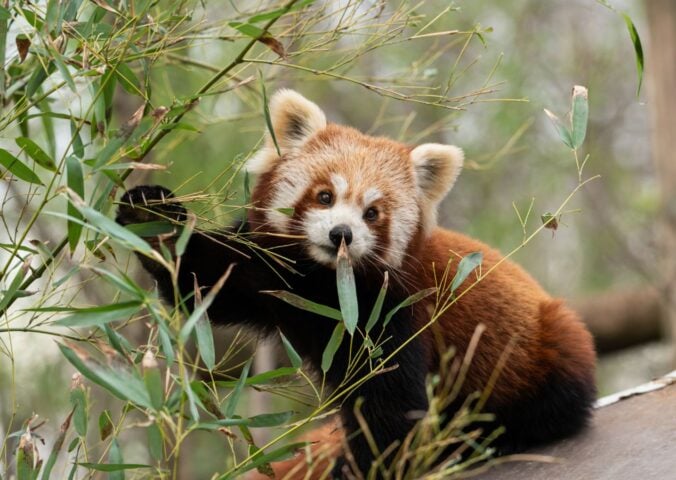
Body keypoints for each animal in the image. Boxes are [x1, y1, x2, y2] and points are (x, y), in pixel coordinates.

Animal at [117, 89, 596, 476]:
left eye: (372, 213)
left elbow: (389, 408)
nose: (341, 234)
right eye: (325, 196)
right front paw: (153, 216)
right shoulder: (268, 271)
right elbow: (204, 278)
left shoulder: (395, 311)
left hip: (552, 345)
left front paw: (358, 468)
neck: (323, 285)